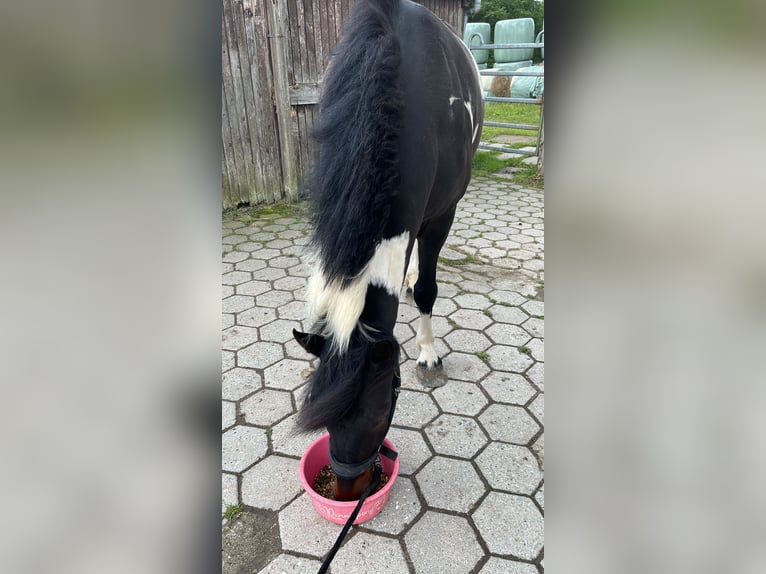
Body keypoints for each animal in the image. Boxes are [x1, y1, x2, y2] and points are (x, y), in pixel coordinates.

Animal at [293, 0, 483, 501]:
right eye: (324, 420)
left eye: (380, 411)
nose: (347, 494)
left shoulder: (441, 214)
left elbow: (429, 291)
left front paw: (428, 355)